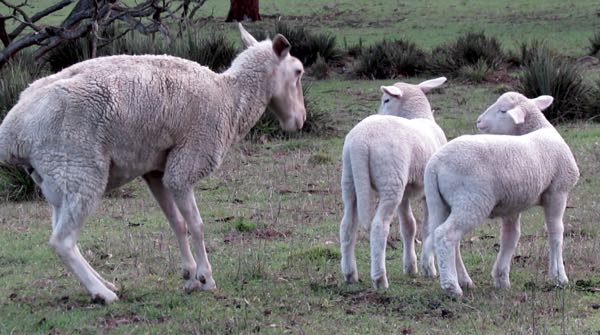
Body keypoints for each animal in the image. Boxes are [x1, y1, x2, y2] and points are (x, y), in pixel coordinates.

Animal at [0, 24, 308, 304]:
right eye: (298, 72)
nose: (301, 120)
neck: (230, 99)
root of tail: (12, 130)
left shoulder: (157, 170)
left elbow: (177, 222)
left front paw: (190, 275)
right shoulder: (185, 164)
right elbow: (196, 224)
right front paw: (206, 277)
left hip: (57, 178)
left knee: (62, 234)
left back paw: (104, 283)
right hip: (79, 168)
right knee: (61, 241)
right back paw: (103, 293)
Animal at [340, 77, 448, 290]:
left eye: (386, 100)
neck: (420, 116)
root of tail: (360, 142)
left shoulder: (405, 193)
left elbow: (409, 226)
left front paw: (411, 267)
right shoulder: (428, 192)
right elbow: (426, 227)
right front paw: (429, 268)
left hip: (351, 180)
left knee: (347, 225)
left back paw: (350, 274)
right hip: (390, 180)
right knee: (379, 227)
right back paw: (380, 279)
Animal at [420, 91, 580, 296]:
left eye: (503, 111)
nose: (479, 121)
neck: (540, 129)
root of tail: (435, 163)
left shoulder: (513, 204)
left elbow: (511, 237)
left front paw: (501, 278)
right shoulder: (557, 191)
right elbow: (556, 232)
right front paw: (559, 276)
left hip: (441, 202)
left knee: (447, 237)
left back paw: (464, 280)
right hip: (472, 200)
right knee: (445, 235)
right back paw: (452, 286)